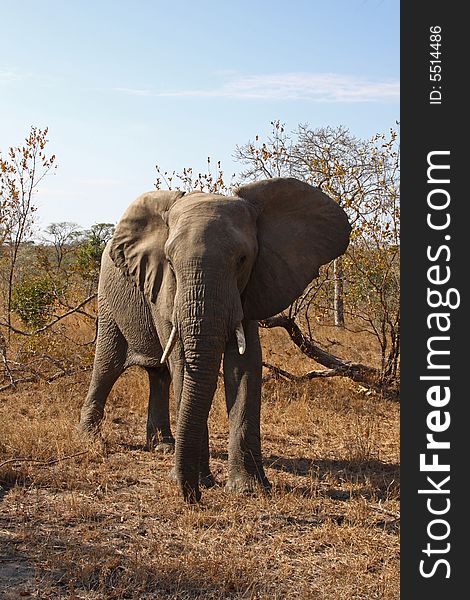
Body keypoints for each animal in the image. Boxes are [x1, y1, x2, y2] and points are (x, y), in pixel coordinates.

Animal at [78, 177, 348, 502]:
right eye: (170, 262)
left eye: (242, 260)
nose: (192, 497)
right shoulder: (164, 289)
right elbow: (183, 362)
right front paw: (202, 481)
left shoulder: (252, 286)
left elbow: (244, 365)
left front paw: (249, 489)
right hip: (108, 296)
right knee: (108, 364)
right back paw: (89, 438)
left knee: (158, 374)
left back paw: (163, 446)